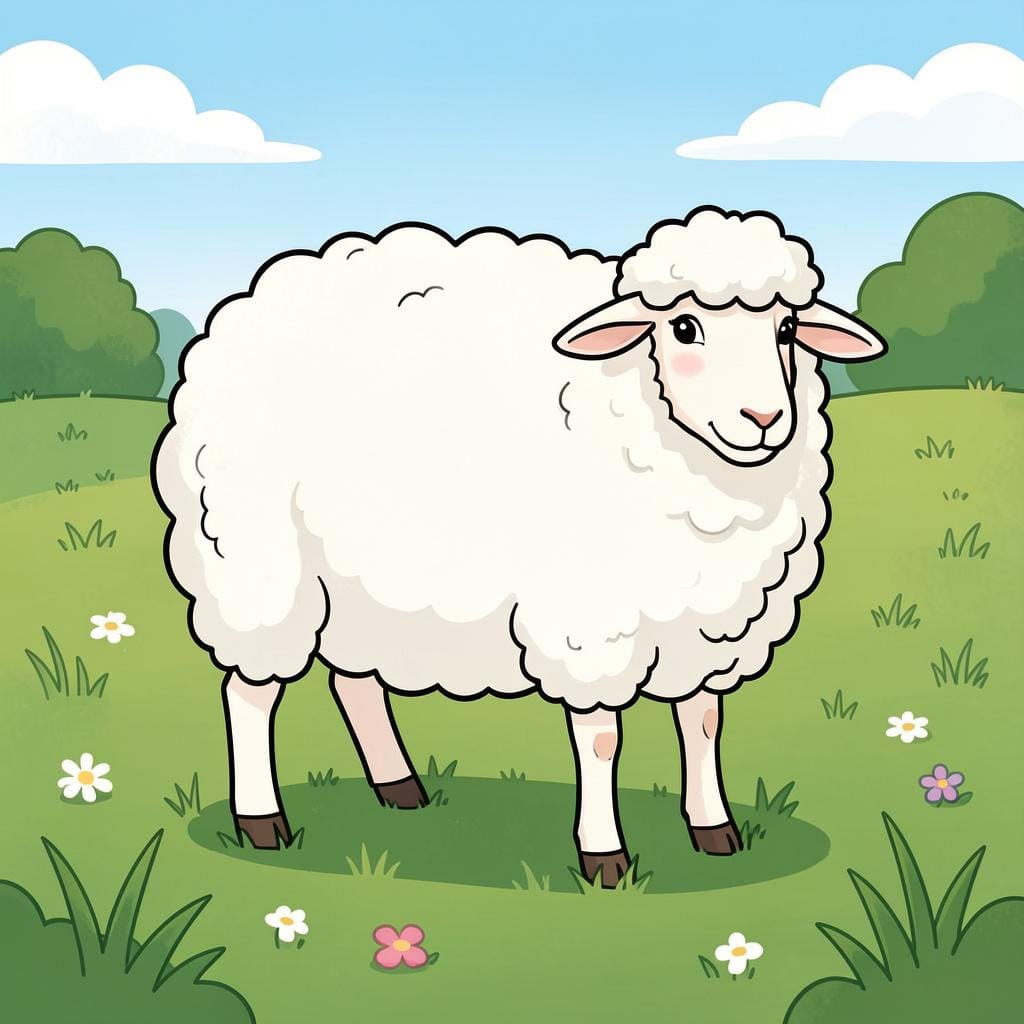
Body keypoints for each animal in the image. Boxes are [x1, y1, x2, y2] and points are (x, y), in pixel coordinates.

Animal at [153, 206, 885, 886]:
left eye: (786, 330)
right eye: (683, 327)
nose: (763, 419)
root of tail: (259, 298)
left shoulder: (711, 627)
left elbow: (702, 722)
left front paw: (714, 831)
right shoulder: (591, 624)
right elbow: (602, 741)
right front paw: (604, 858)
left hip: (358, 577)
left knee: (353, 682)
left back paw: (400, 787)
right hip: (258, 564)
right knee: (250, 694)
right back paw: (262, 821)